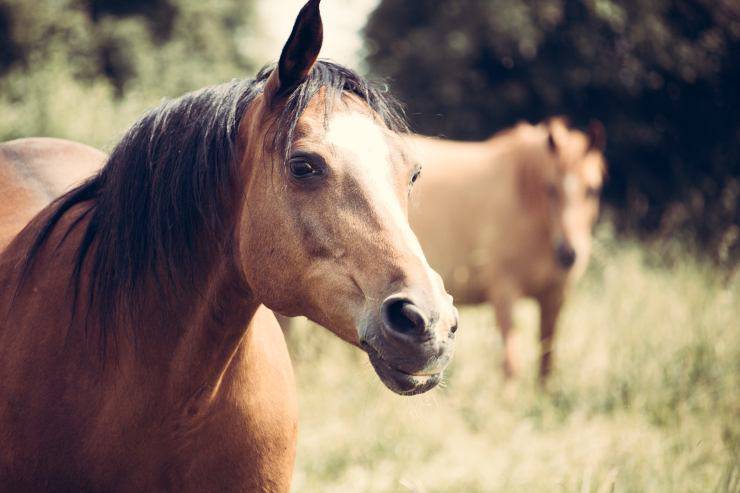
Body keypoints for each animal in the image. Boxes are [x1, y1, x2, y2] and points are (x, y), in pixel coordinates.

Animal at [408, 118, 604, 380]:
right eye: (550, 188)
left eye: (592, 190)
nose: (568, 253)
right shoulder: (504, 293)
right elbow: (511, 365)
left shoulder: (554, 297)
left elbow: (547, 362)